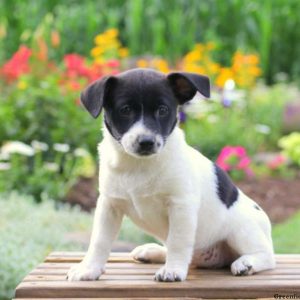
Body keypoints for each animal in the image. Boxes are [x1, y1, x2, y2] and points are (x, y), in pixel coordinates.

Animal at [67, 69, 276, 282]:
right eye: (125, 110)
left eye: (163, 110)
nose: (146, 142)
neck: (139, 166)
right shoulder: (109, 205)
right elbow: (99, 241)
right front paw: (89, 269)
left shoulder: (180, 205)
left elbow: (177, 241)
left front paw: (173, 270)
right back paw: (153, 252)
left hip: (242, 230)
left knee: (268, 256)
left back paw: (247, 263)